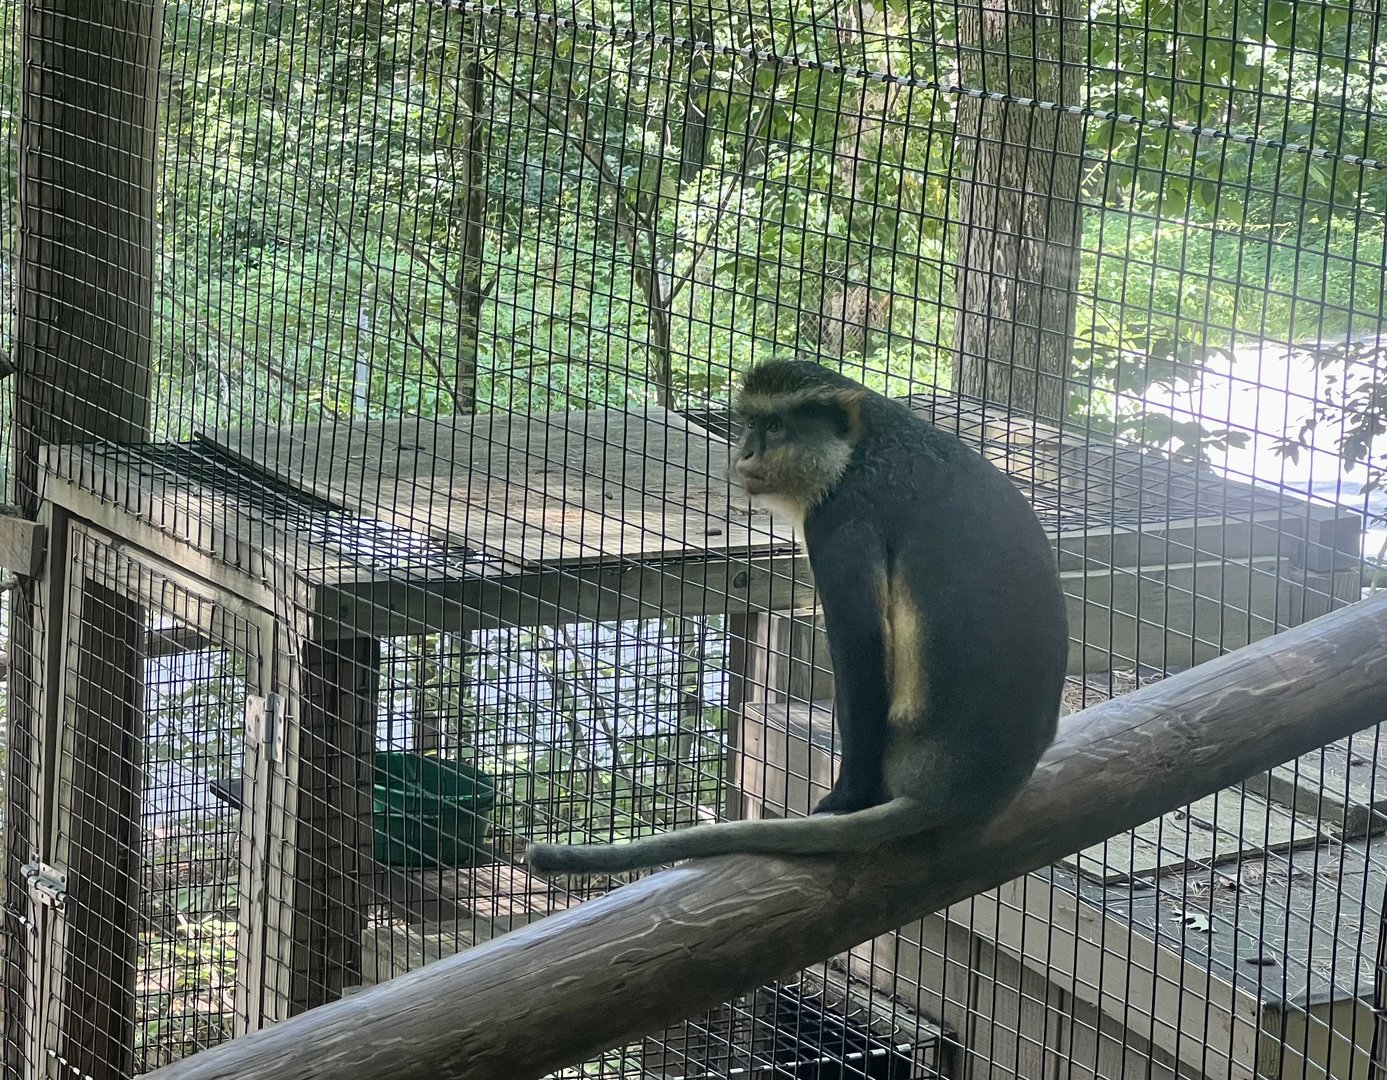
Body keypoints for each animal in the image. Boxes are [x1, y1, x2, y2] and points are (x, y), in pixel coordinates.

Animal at [524, 359, 1069, 876]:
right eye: (751, 423)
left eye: (778, 427)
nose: (746, 454)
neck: (861, 448)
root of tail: (955, 792)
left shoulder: (840, 520)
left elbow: (861, 655)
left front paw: (847, 798)